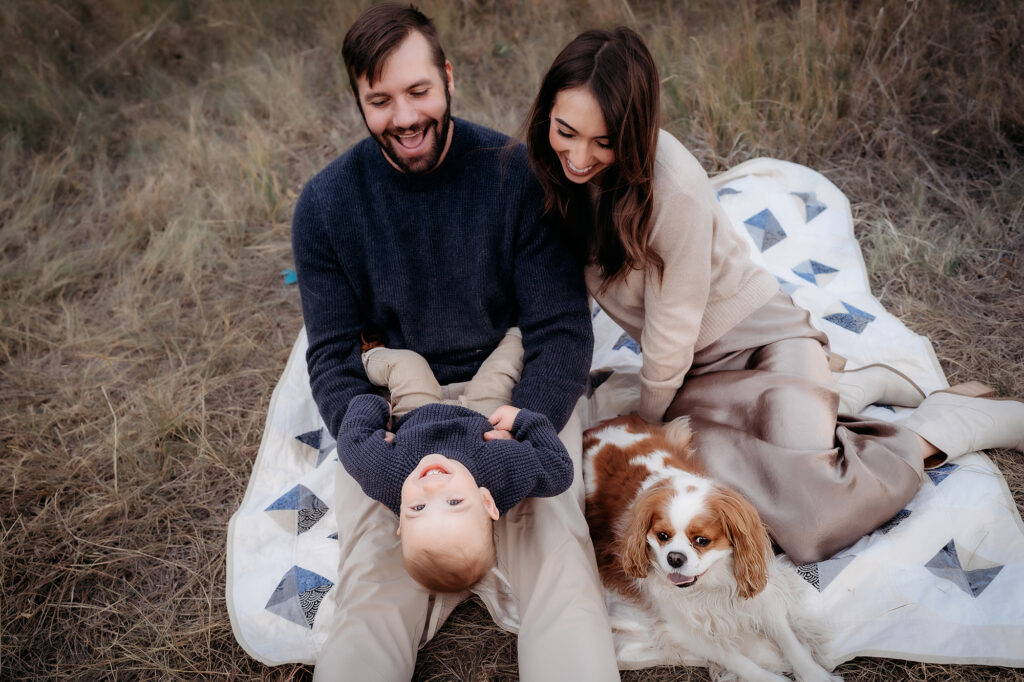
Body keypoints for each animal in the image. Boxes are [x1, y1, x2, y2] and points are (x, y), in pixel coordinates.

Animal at [585, 411, 839, 675]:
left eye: (702, 540)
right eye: (662, 536)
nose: (674, 558)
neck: (710, 585)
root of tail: (603, 424)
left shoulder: (763, 599)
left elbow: (789, 640)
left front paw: (814, 673)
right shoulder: (686, 630)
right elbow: (738, 660)